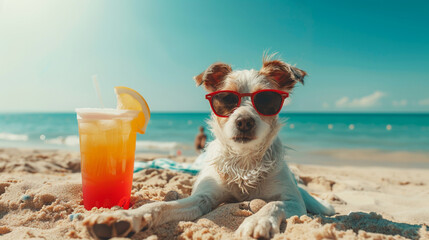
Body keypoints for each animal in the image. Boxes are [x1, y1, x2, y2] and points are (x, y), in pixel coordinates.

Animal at [83, 55, 334, 238]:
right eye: (226, 99)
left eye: (267, 100)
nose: (244, 121)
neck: (243, 162)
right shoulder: (201, 198)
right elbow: (161, 206)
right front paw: (124, 217)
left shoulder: (293, 201)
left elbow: (273, 204)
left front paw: (257, 221)